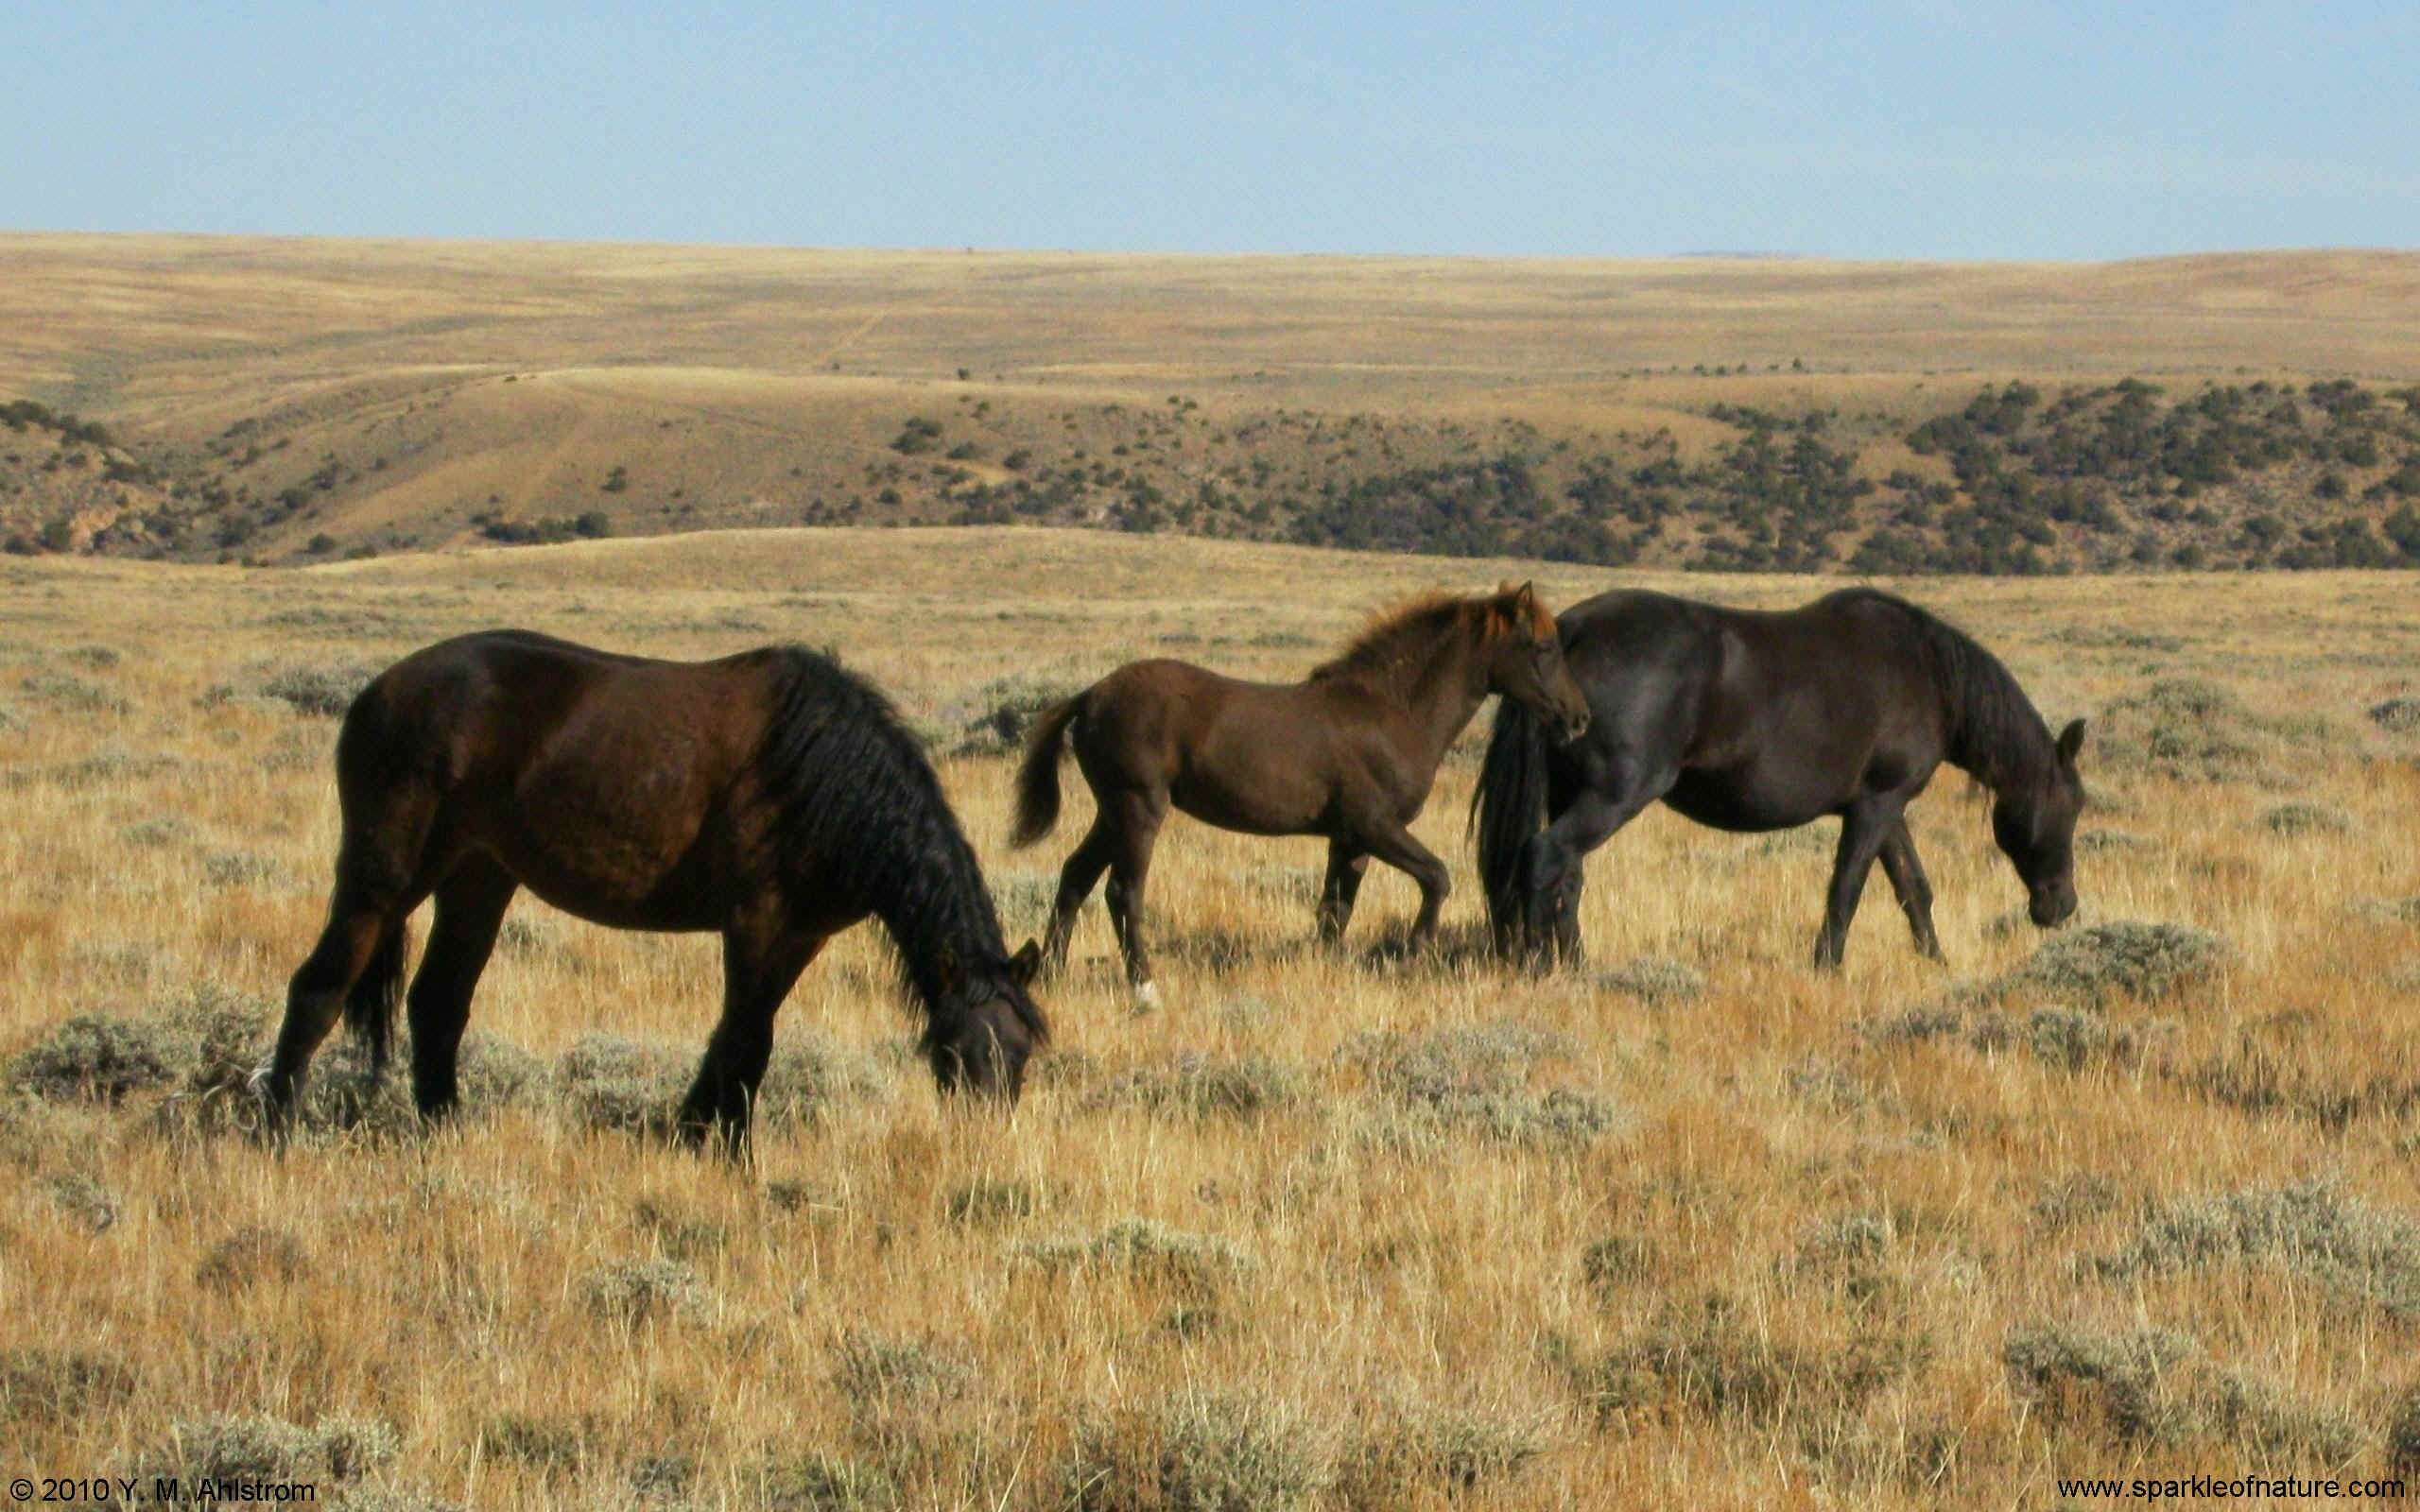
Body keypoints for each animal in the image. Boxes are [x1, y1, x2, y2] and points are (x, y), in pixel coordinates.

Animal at [257, 628, 1050, 1151]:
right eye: (956, 1055)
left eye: (1020, 1056)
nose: (986, 1143)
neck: (822, 772)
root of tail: (375, 693)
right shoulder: (757, 922)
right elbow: (748, 1039)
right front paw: (729, 1153)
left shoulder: (801, 935)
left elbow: (736, 1037)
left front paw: (692, 1134)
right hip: (385, 877)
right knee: (319, 988)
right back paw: (277, 1133)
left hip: (478, 878)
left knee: (438, 1002)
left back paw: (446, 1133)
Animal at [1011, 580, 1597, 1001]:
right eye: (1543, 646)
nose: (1579, 719)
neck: (1393, 710)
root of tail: (1090, 695)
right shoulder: (1374, 826)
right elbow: (1437, 878)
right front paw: (1412, 957)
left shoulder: (1350, 841)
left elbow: (1336, 910)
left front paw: (1328, 971)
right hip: (1138, 808)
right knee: (1123, 891)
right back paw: (1145, 989)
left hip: (1111, 811)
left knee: (1075, 876)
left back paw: (1052, 975)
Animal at [1461, 590, 2090, 968]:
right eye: (2075, 806)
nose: (2061, 906)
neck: (1928, 674)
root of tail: (1572, 628)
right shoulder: (1876, 806)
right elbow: (1846, 891)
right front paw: (1827, 968)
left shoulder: (1884, 807)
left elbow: (1914, 888)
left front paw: (1934, 962)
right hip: (1615, 794)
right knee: (1547, 857)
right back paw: (1544, 965)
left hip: (1576, 793)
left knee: (1567, 875)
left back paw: (1575, 963)